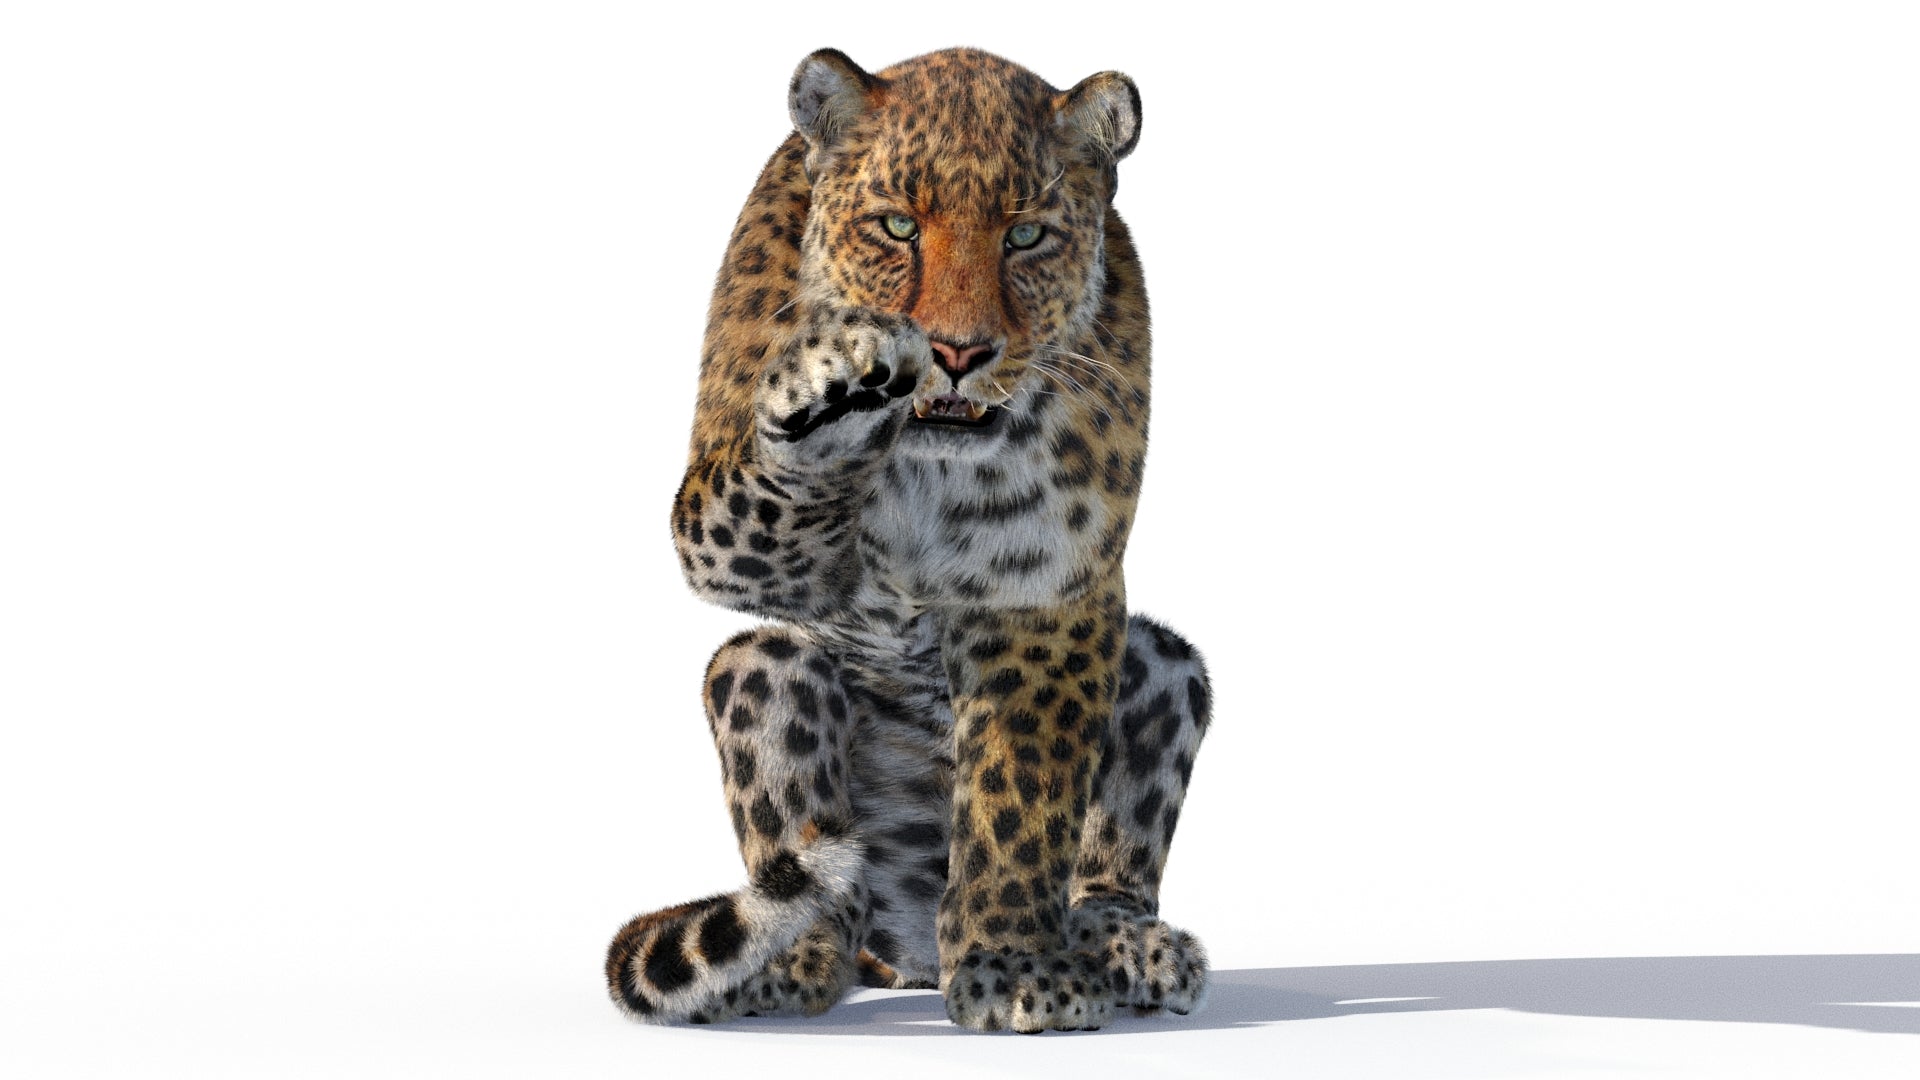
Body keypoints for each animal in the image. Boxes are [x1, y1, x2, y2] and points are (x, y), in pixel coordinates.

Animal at [604, 46, 1212, 1034]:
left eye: (1026, 237)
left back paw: (1127, 945)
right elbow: (774, 504)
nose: (956, 352)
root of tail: (910, 957)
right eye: (896, 226)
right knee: (818, 907)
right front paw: (834, 393)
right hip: (760, 669)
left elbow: (1022, 793)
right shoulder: (725, 539)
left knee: (1106, 857)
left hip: (1166, 663)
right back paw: (776, 966)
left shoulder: (1044, 593)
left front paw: (1013, 965)